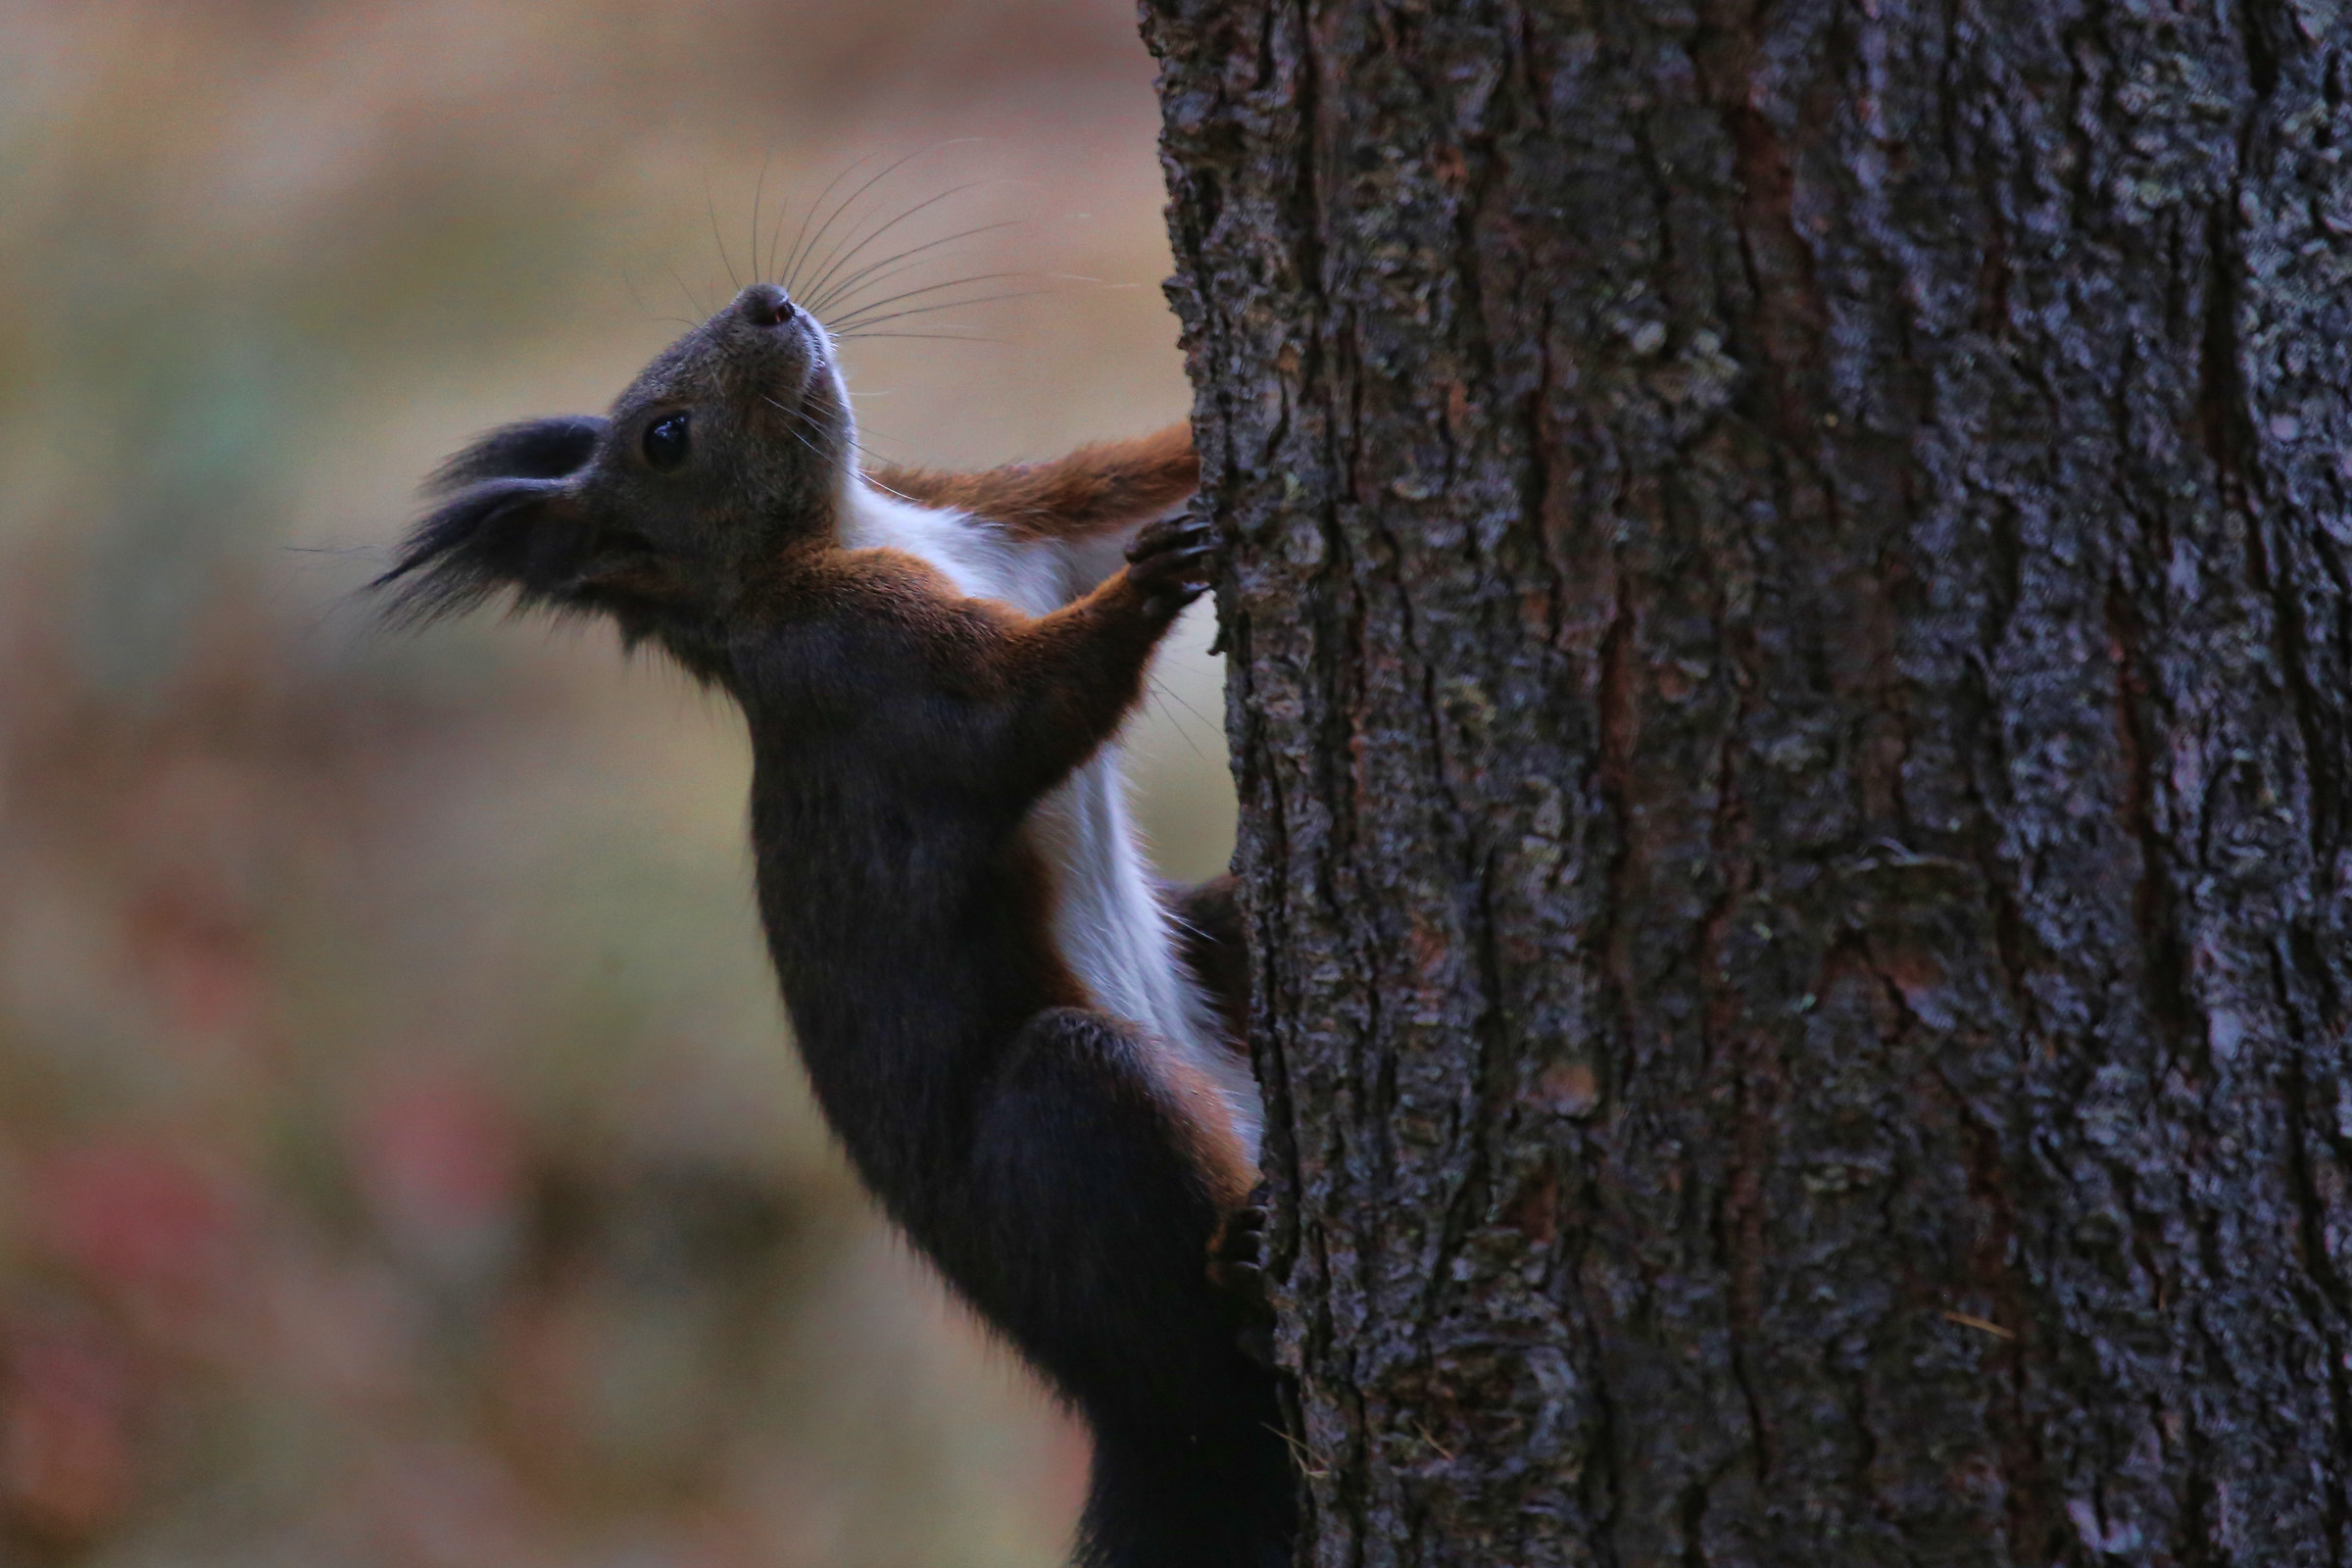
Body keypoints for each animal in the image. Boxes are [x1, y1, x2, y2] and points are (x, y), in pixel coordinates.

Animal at [378, 280, 1294, 1568]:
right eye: (666, 437)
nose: (768, 301)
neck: (859, 523)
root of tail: (1145, 1431)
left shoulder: (1007, 513)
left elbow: (1128, 477)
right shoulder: (871, 668)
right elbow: (1020, 711)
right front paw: (1159, 579)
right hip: (1073, 1139)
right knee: (1180, 1304)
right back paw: (1244, 1279)